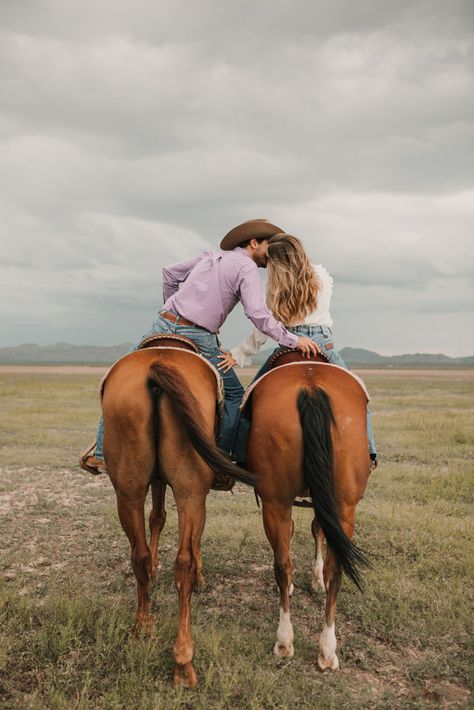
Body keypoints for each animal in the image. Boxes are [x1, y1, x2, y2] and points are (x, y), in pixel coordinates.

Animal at [99, 344, 256, 688]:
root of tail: (156, 367)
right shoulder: (197, 496)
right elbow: (192, 543)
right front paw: (200, 578)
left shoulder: (156, 481)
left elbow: (157, 517)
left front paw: (157, 571)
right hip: (190, 492)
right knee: (183, 562)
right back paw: (184, 660)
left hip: (128, 492)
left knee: (139, 554)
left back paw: (143, 626)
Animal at [246, 362, 372, 672]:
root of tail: (311, 386)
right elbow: (316, 530)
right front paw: (314, 579)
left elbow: (309, 531)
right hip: (331, 505)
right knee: (319, 568)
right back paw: (310, 646)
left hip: (280, 503)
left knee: (291, 565)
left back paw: (304, 644)